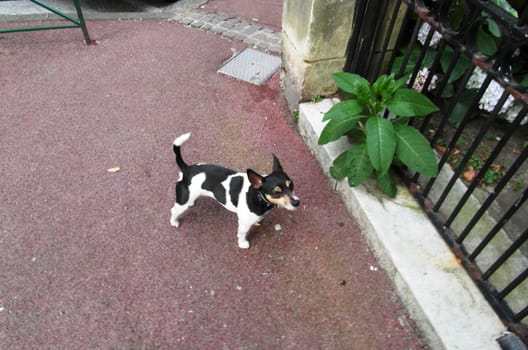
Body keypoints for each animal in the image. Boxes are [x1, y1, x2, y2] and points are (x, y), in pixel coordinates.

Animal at [171, 132, 300, 249]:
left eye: (291, 185)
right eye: (276, 192)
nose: (297, 202)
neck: (257, 195)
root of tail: (187, 169)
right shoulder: (243, 224)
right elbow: (241, 235)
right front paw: (242, 244)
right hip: (182, 202)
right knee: (174, 211)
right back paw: (174, 222)